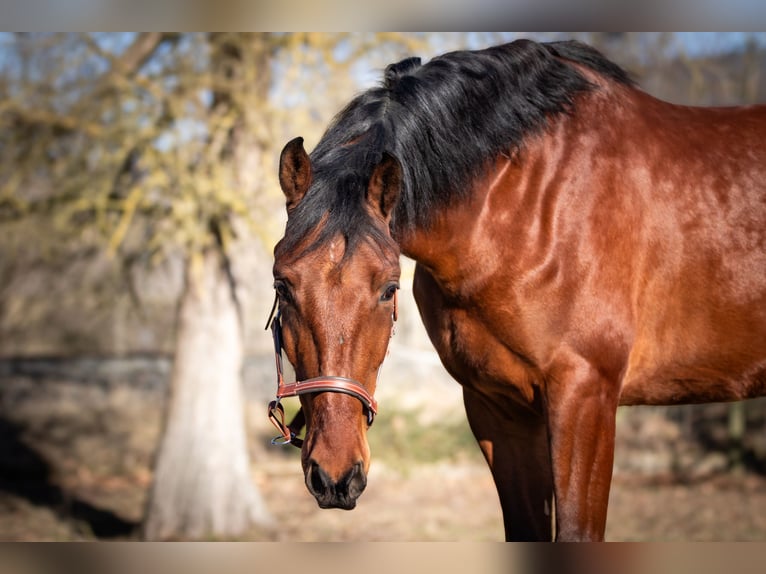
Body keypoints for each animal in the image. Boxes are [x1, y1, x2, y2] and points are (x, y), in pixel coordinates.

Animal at [266, 38, 766, 544]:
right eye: (282, 285)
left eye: (389, 288)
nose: (334, 476)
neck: (527, 206)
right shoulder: (499, 410)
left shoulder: (585, 397)